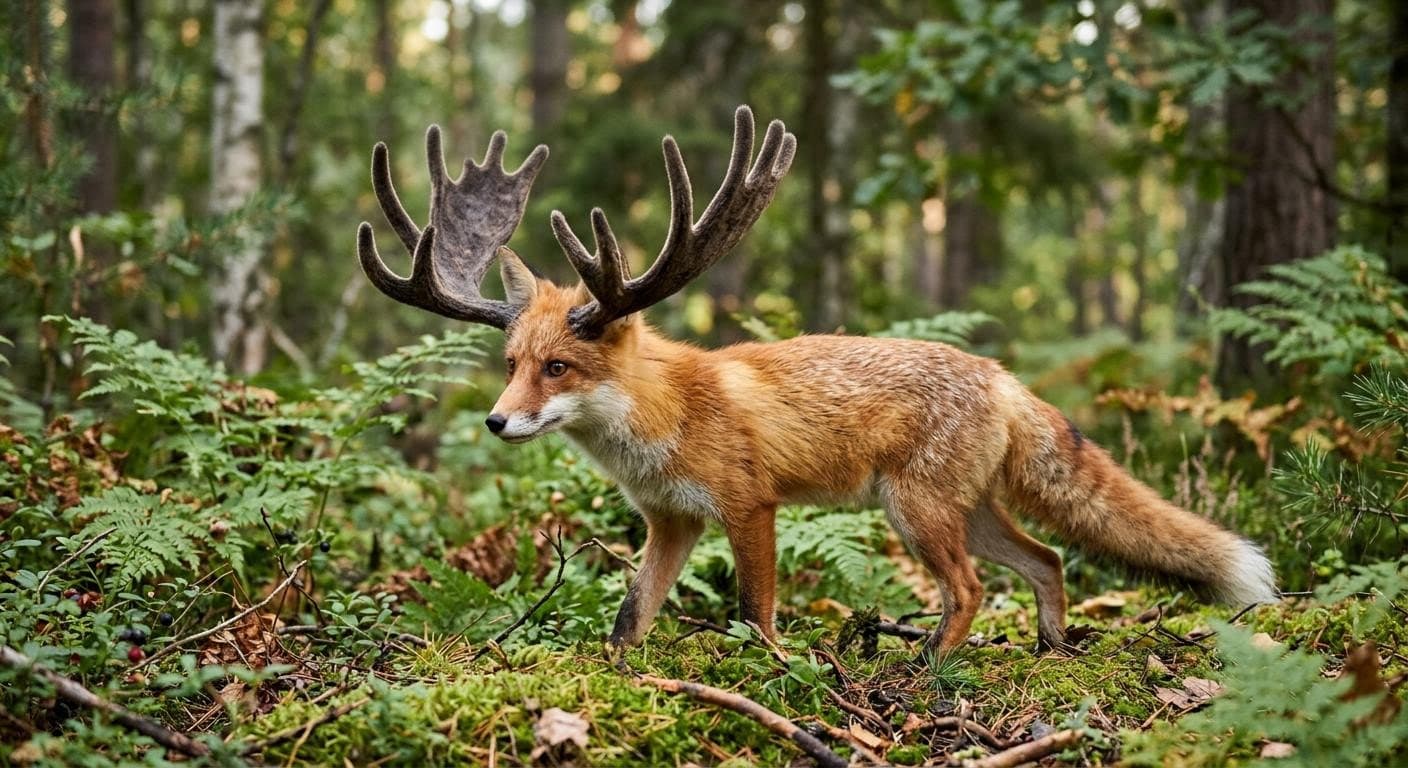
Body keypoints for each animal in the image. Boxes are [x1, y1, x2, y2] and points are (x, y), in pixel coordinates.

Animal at [355, 106, 1276, 657]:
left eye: (558, 368)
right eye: (511, 365)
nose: (496, 423)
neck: (662, 417)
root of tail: (1000, 374)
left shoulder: (748, 508)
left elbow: (754, 611)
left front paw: (767, 673)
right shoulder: (670, 524)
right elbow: (629, 616)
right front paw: (622, 671)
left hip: (917, 515)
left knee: (972, 590)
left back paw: (925, 671)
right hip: (965, 514)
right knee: (1048, 562)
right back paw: (1049, 649)